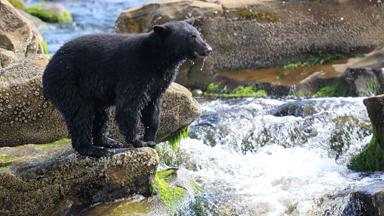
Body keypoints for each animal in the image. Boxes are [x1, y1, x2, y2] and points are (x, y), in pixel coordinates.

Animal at [43, 19, 214, 157]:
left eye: (199, 34)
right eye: (191, 37)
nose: (209, 49)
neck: (159, 58)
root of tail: (47, 70)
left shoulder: (159, 81)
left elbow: (152, 109)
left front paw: (150, 139)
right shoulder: (135, 70)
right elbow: (129, 105)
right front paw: (138, 141)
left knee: (102, 114)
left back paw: (107, 141)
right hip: (69, 83)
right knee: (80, 115)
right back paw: (93, 149)